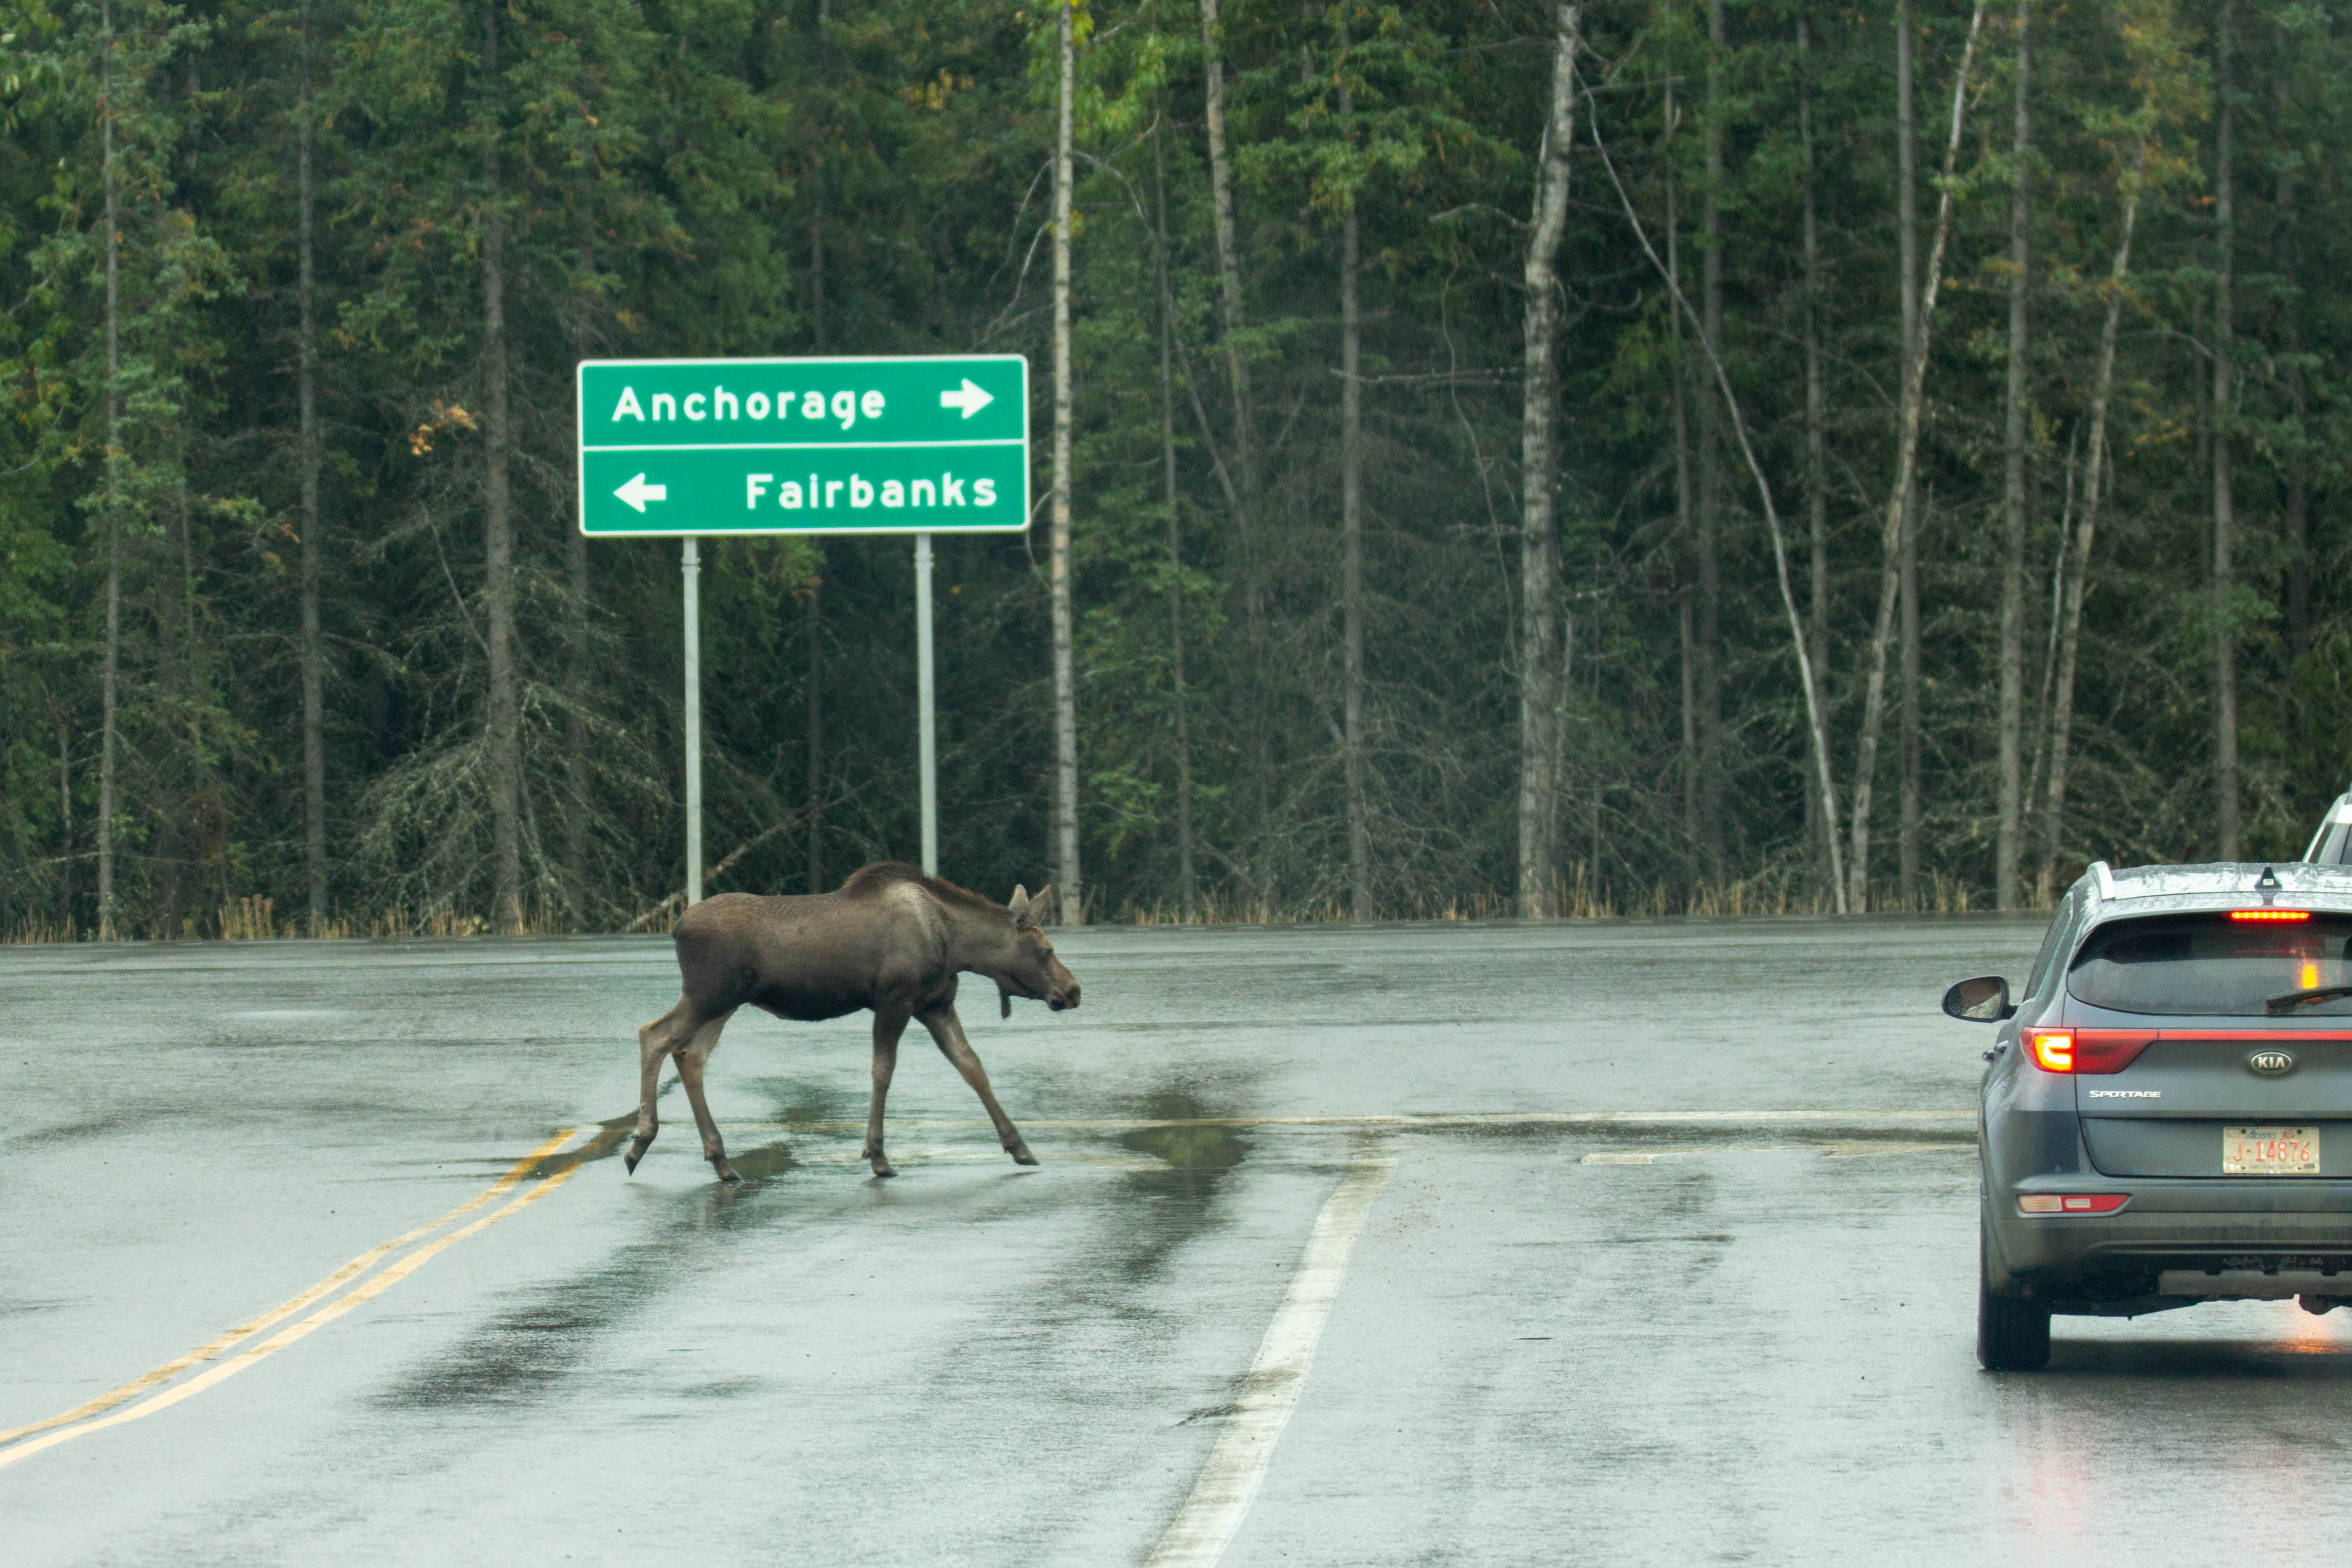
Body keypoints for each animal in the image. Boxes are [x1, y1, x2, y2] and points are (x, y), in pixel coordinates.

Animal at [627, 863, 1082, 1184]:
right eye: (1046, 949)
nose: (1074, 990)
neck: (957, 946)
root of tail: (676, 927)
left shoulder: (935, 1004)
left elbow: (973, 1066)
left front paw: (1020, 1146)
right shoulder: (894, 1000)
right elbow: (883, 1070)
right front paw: (877, 1156)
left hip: (725, 1003)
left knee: (690, 1055)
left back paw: (721, 1160)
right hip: (708, 994)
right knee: (654, 1034)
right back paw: (640, 1143)